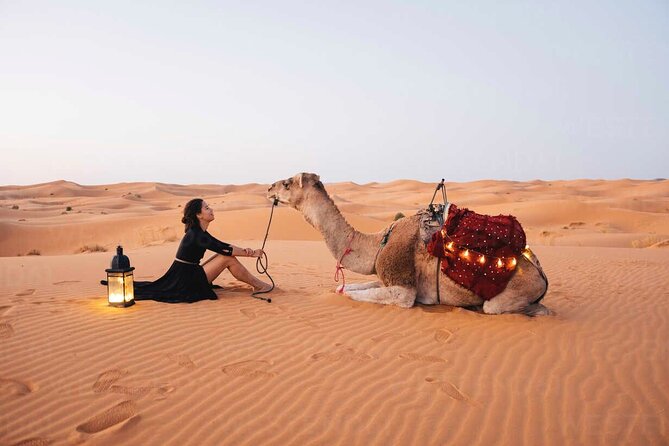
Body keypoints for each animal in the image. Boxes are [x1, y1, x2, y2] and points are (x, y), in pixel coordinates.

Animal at [267, 173, 549, 315]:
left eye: (287, 183)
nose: (269, 188)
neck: (378, 244)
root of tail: (541, 274)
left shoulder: (403, 288)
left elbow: (351, 292)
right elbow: (348, 287)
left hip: (515, 291)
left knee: (502, 307)